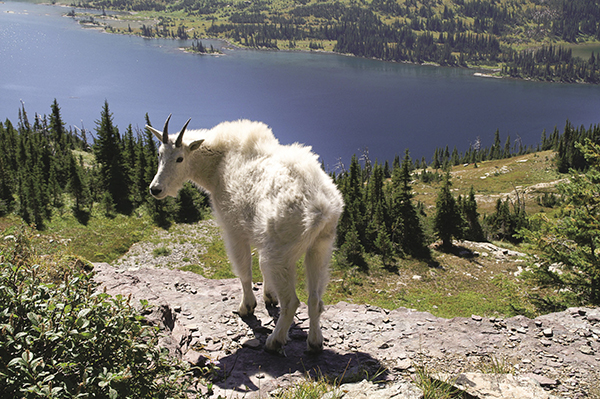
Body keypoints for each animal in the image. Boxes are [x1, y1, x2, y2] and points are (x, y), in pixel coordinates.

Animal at [148, 115, 344, 354]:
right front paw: (269, 297)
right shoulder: (260, 234)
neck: (218, 163)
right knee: (315, 299)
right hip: (321, 246)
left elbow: (244, 270)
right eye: (159, 154)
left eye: (179, 158)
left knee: (292, 303)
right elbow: (259, 267)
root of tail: (321, 207)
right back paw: (315, 343)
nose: (155, 189)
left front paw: (247, 307)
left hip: (281, 252)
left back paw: (274, 342)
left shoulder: (234, 229)